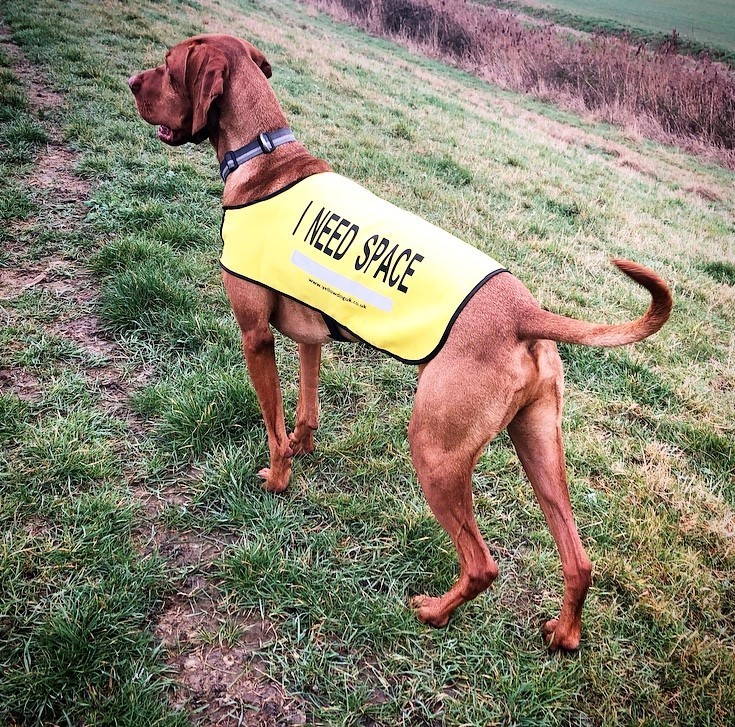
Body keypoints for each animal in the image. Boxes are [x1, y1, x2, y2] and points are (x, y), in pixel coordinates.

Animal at [128, 34, 672, 652]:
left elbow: (271, 425)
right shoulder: (310, 339)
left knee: (483, 563)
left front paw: (277, 480)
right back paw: (563, 634)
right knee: (579, 559)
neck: (263, 156)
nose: (131, 82)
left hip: (434, 450)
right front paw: (302, 449)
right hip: (538, 444)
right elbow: (305, 410)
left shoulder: (255, 337)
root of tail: (525, 313)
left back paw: (434, 613)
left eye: (168, 67)